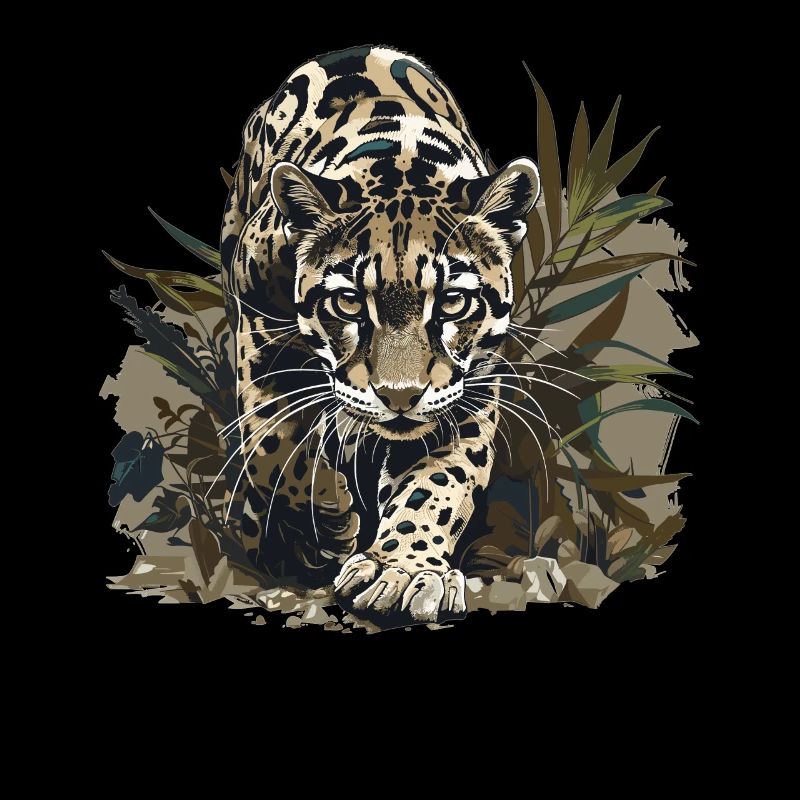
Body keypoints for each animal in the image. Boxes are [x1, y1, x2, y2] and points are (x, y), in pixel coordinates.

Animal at [221, 44, 540, 627]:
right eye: (348, 301)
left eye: (453, 302)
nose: (399, 397)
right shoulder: (256, 323)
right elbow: (275, 444)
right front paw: (332, 519)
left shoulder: (470, 386)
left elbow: (439, 481)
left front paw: (404, 571)